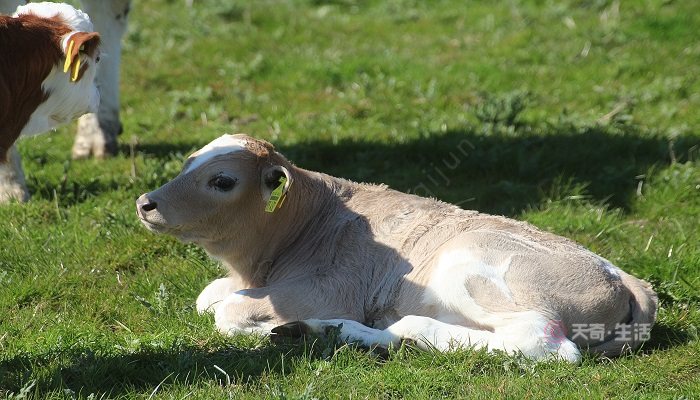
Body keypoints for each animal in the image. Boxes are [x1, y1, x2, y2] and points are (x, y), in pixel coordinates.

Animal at [135, 134, 656, 362]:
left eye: (222, 181)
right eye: (188, 162)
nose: (145, 203)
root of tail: (625, 277)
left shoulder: (327, 289)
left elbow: (227, 312)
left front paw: (261, 329)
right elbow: (209, 297)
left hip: (469, 264)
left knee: (542, 342)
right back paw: (327, 333)